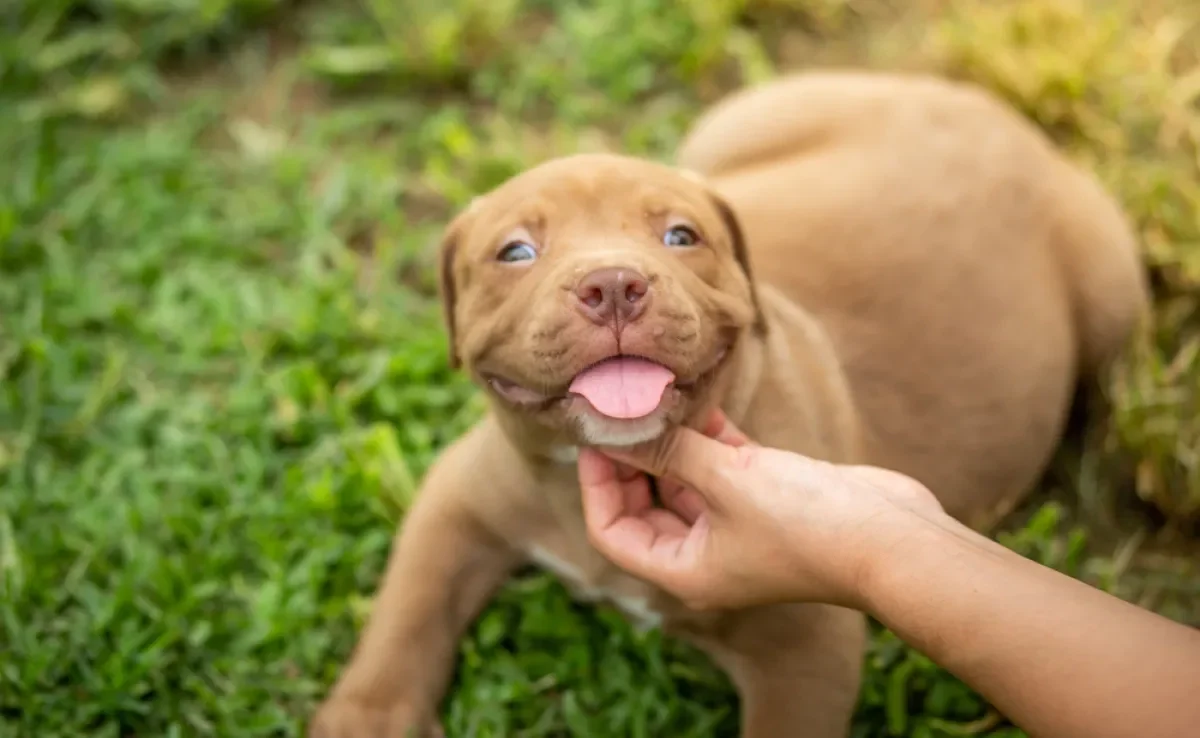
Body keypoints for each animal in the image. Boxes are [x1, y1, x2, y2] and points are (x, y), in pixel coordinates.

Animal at [309, 72, 1152, 738]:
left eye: (683, 236)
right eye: (515, 252)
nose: (613, 283)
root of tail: (983, 105)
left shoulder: (806, 650)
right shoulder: (458, 496)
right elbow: (404, 614)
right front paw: (363, 718)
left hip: (1112, 293)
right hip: (739, 122)